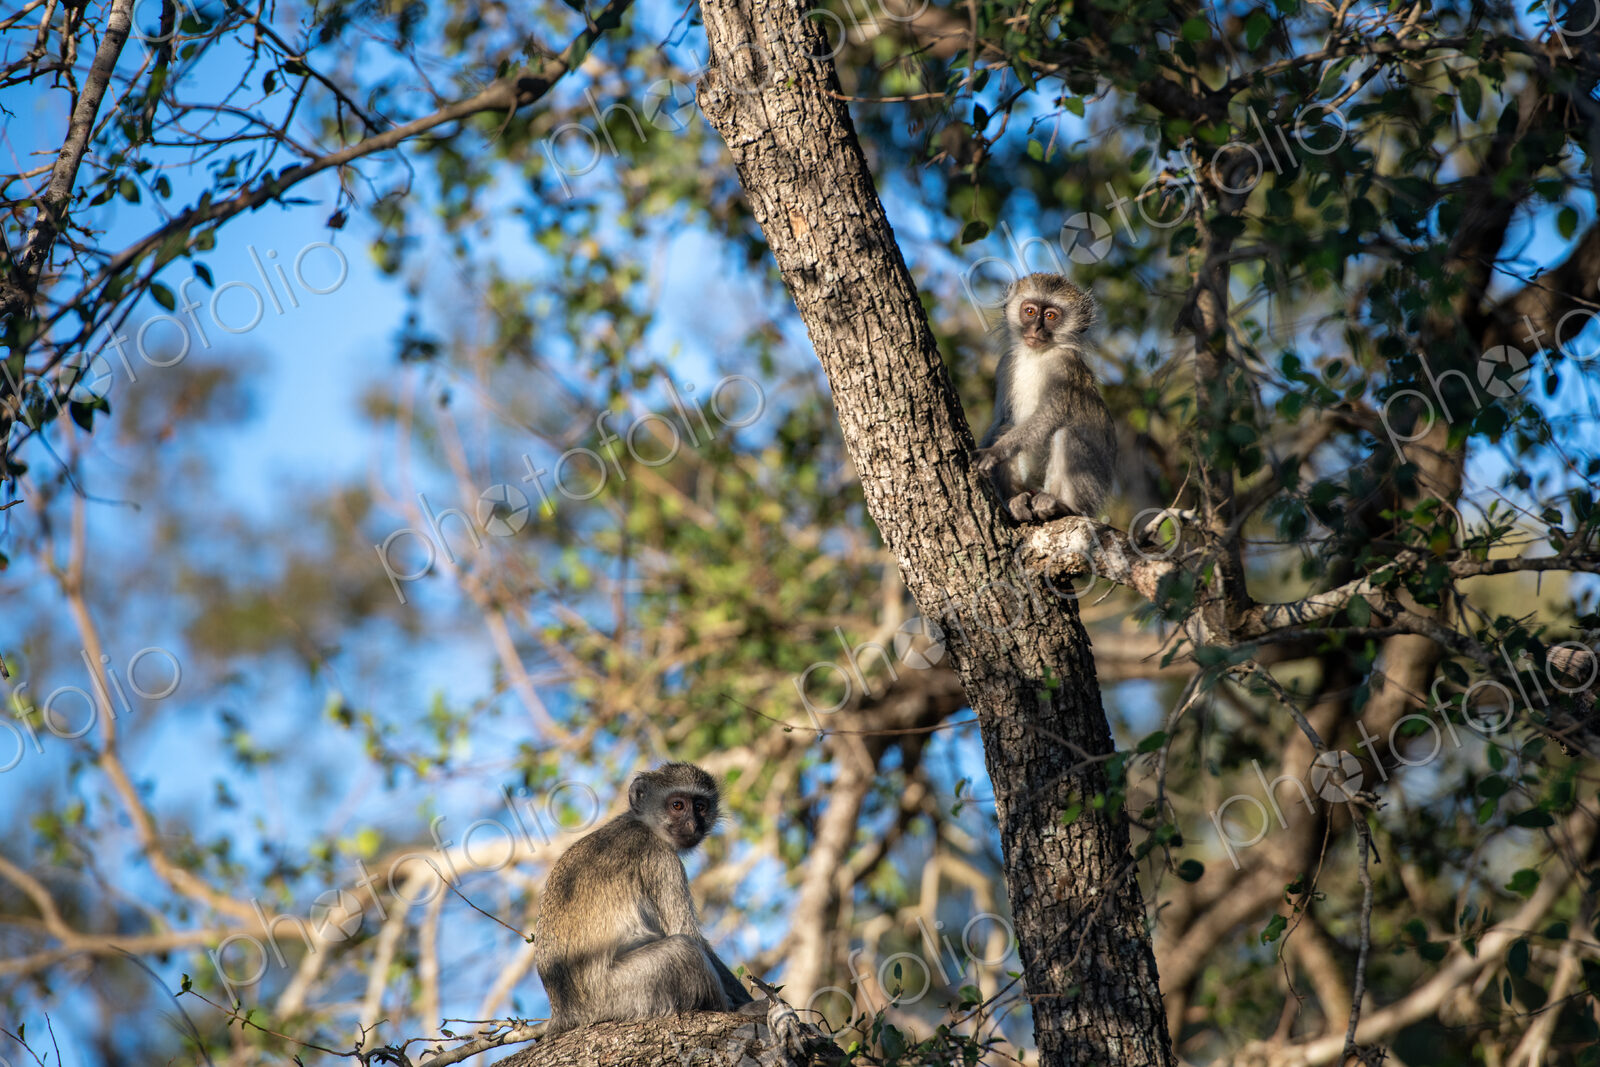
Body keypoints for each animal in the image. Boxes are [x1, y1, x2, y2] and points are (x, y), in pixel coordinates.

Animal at [534, 761, 759, 1035]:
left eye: (700, 806)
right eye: (677, 806)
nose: (693, 825)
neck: (643, 824)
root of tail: (564, 1011)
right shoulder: (661, 860)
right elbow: (688, 933)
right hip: (621, 992)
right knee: (683, 950)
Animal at [972, 273, 1116, 522]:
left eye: (1050, 316)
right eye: (1030, 311)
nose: (1036, 330)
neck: (1035, 355)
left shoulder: (1063, 366)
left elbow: (1048, 417)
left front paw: (994, 452)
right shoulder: (1005, 363)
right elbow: (1001, 420)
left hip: (1093, 488)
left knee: (1065, 436)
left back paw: (1063, 505)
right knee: (1005, 427)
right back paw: (1017, 500)